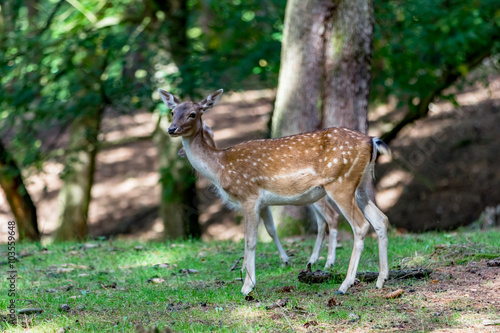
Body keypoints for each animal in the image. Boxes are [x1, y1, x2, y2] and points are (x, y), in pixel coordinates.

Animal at [179, 122, 340, 270]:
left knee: (331, 216)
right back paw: (313, 260)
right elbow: (270, 229)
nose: (180, 152)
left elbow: (252, 232)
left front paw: (245, 266)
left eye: (205, 135)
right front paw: (283, 260)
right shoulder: (262, 204)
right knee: (322, 221)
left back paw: (328, 262)